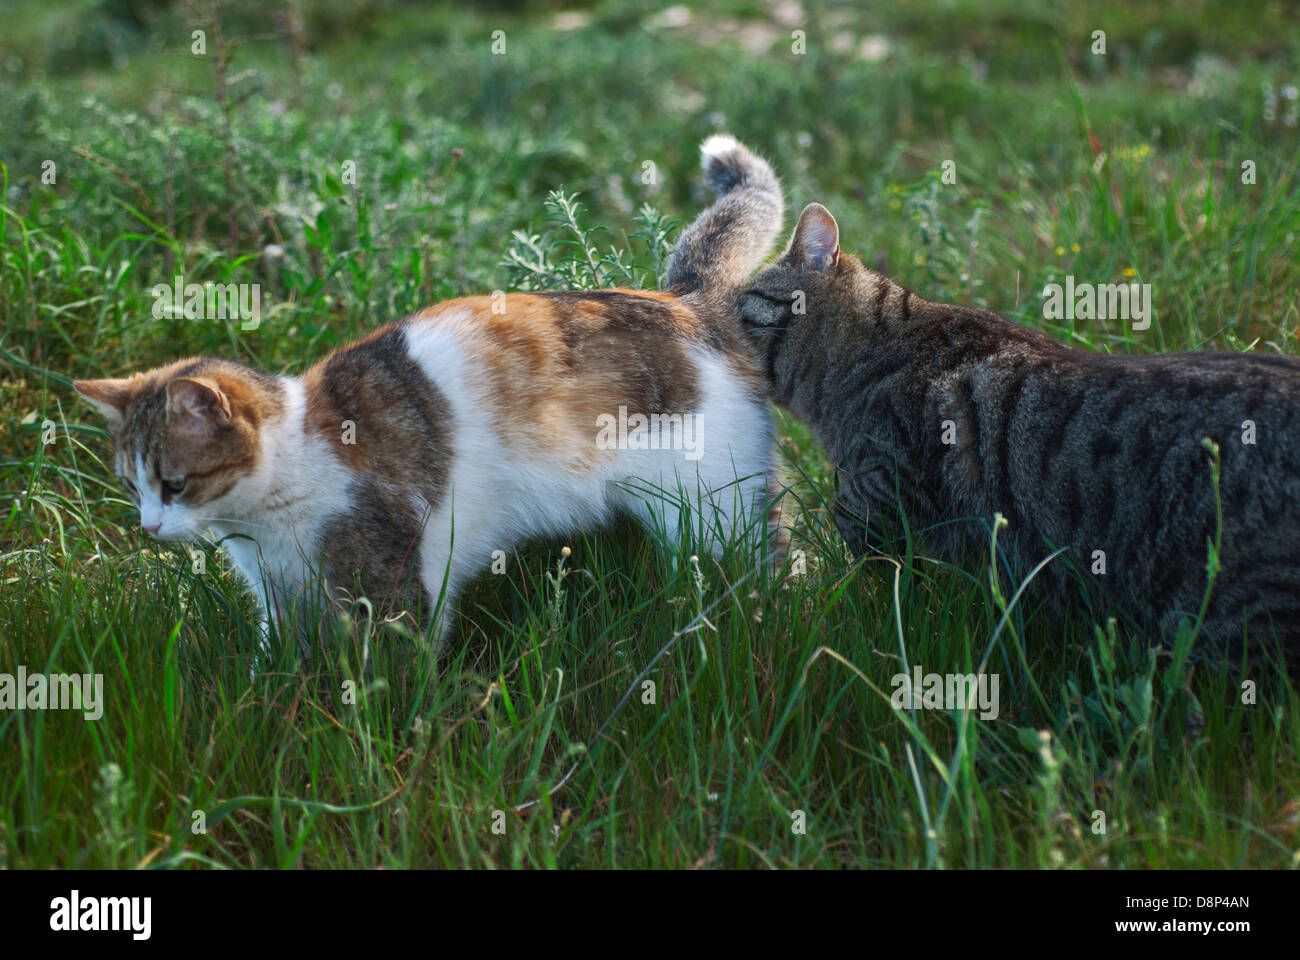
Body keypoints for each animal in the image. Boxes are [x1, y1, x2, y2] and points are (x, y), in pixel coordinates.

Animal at [76, 134, 785, 655]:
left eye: (174, 484)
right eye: (131, 485)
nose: (148, 526)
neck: (290, 467)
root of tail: (686, 301)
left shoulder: (392, 582)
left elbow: (394, 680)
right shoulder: (278, 596)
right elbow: (271, 663)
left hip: (713, 514)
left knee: (768, 562)